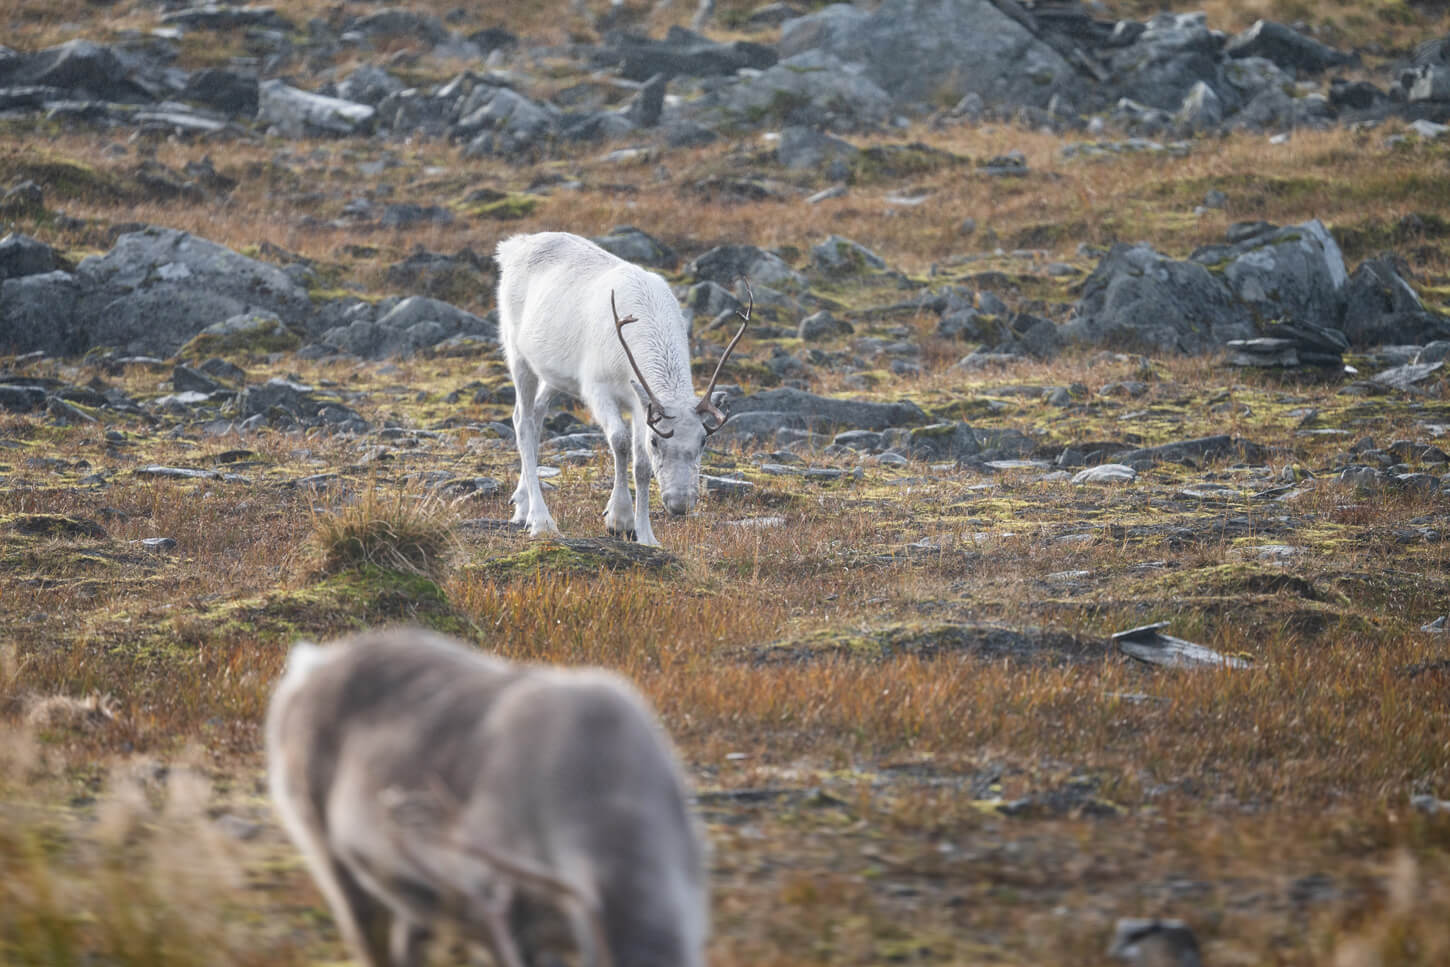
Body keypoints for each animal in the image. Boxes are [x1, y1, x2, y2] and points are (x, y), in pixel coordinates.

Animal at [494, 231, 750, 546]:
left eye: (703, 440)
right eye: (657, 442)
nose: (680, 505)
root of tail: (512, 246)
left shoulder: (641, 403)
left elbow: (641, 465)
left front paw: (646, 535)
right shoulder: (597, 388)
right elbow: (620, 441)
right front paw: (619, 519)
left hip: (554, 373)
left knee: (537, 414)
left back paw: (521, 504)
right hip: (517, 354)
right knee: (522, 420)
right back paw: (541, 521)